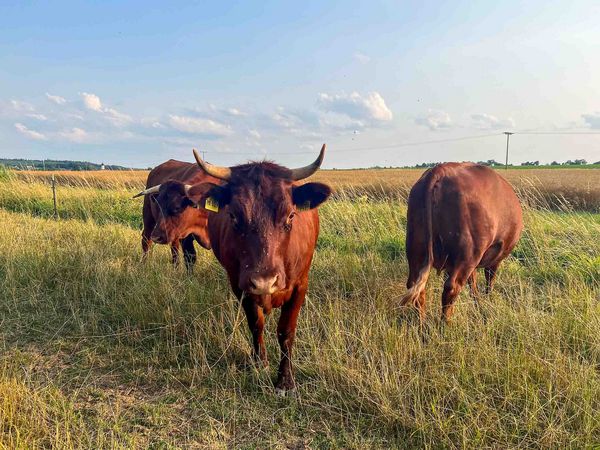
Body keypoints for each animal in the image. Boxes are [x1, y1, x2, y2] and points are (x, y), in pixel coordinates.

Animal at [183, 145, 332, 394]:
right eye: (233, 216)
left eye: (290, 215)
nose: (264, 281)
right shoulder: (240, 286)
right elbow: (256, 324)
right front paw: (259, 361)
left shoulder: (301, 285)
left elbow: (286, 331)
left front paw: (285, 381)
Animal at [400, 163, 524, 322]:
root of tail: (440, 170)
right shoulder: (494, 259)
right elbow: (489, 281)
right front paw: (486, 303)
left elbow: (473, 284)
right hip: (468, 254)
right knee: (451, 289)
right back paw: (445, 324)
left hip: (416, 249)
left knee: (416, 288)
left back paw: (421, 324)